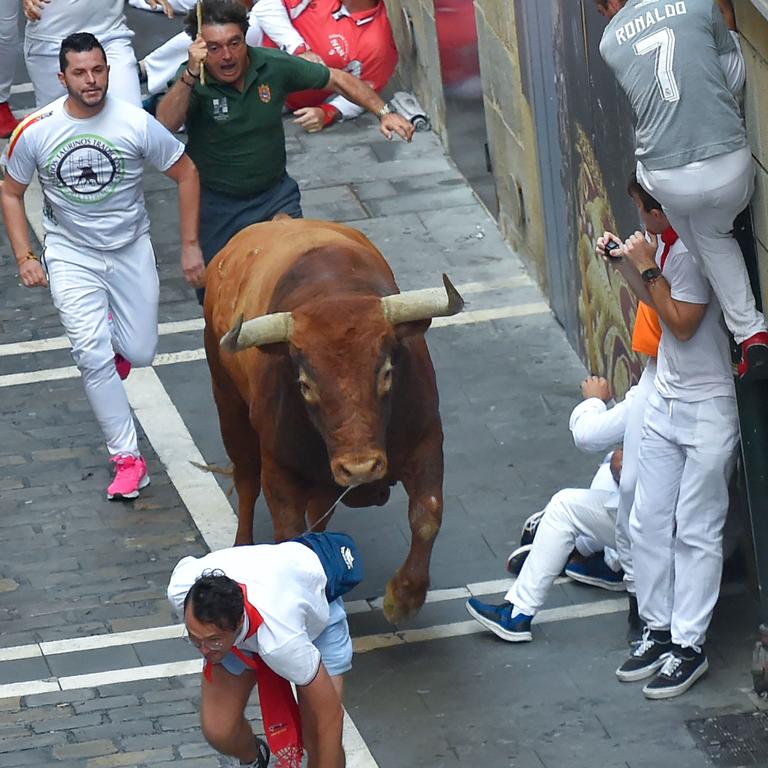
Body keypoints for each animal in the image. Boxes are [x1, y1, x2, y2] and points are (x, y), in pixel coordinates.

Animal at [202, 218, 462, 624]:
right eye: (305, 384)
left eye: (387, 372)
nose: (360, 468)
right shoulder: (280, 469)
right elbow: (287, 531)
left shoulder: (427, 441)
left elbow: (427, 514)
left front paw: (403, 597)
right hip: (228, 406)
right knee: (245, 480)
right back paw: (242, 547)